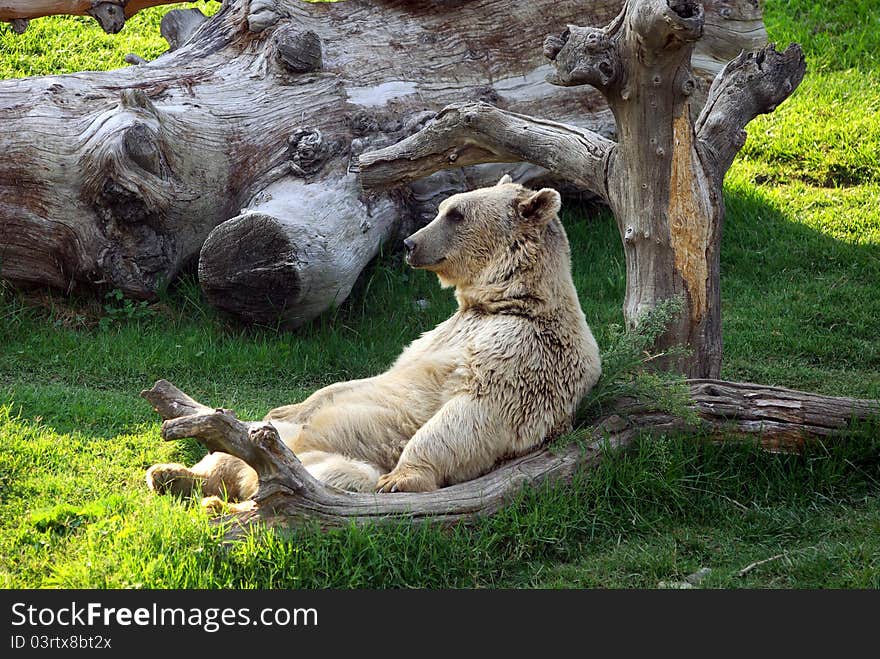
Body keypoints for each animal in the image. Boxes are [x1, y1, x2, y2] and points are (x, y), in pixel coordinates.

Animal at [146, 173, 600, 502]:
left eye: (455, 213)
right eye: (443, 207)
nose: (410, 243)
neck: (509, 301)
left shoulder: (524, 349)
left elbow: (476, 408)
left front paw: (401, 478)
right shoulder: (440, 334)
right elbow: (363, 380)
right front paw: (285, 405)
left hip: (325, 462)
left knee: (331, 477)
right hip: (281, 440)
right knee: (227, 455)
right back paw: (171, 474)